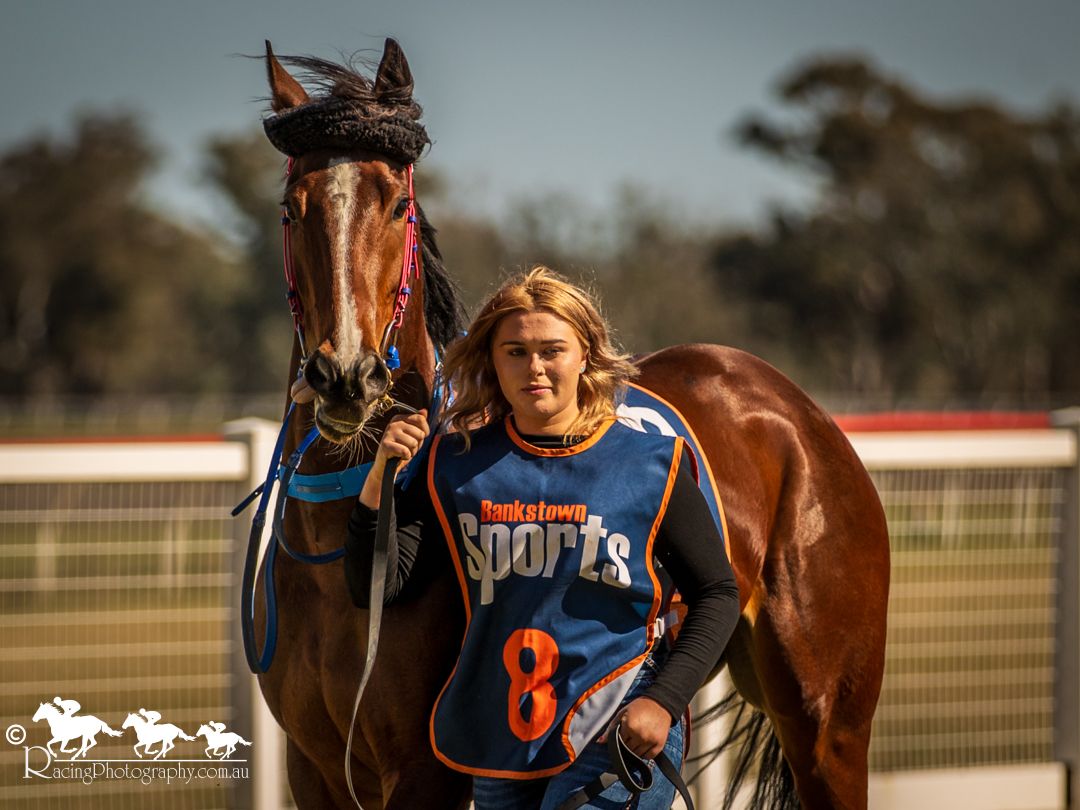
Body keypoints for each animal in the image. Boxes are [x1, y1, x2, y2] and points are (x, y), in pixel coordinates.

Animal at [254, 39, 889, 810]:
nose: (347, 376)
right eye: (293, 208)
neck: (340, 574)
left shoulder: (423, 771)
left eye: (398, 203)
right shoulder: (312, 767)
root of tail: (797, 412)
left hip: (829, 726)